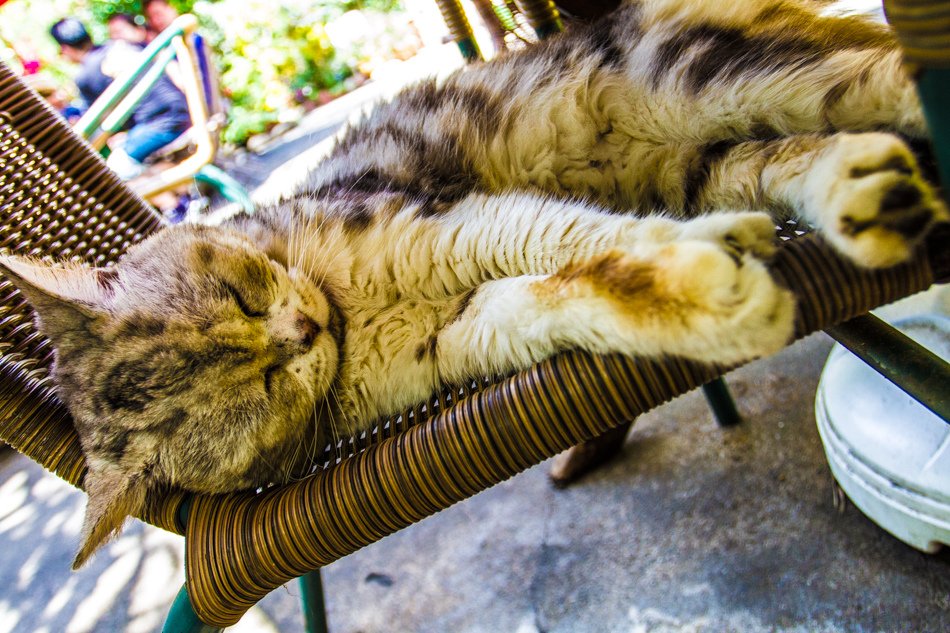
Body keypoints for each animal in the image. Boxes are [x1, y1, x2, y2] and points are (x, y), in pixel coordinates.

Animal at [0, 0, 948, 564]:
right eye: (260, 392)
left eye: (241, 293)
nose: (300, 333)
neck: (355, 318)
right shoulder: (468, 328)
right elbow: (577, 291)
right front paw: (696, 293)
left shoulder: (452, 226)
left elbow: (578, 234)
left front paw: (687, 261)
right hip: (712, 161)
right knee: (795, 158)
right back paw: (864, 193)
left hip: (720, 77)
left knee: (883, 78)